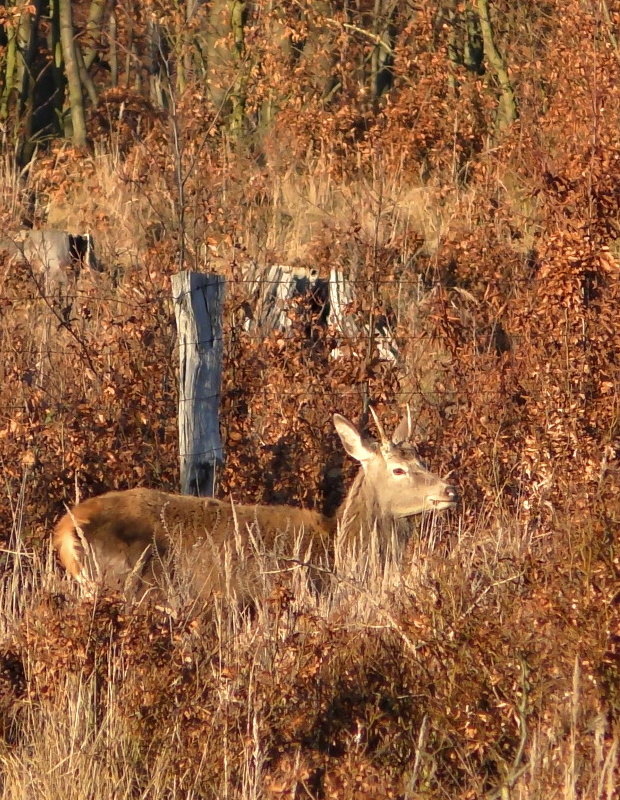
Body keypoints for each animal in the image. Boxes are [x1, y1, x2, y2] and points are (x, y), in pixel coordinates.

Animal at [53, 412, 456, 600]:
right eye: (398, 469)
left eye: (422, 458)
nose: (449, 489)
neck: (338, 545)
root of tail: (64, 531)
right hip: (119, 583)